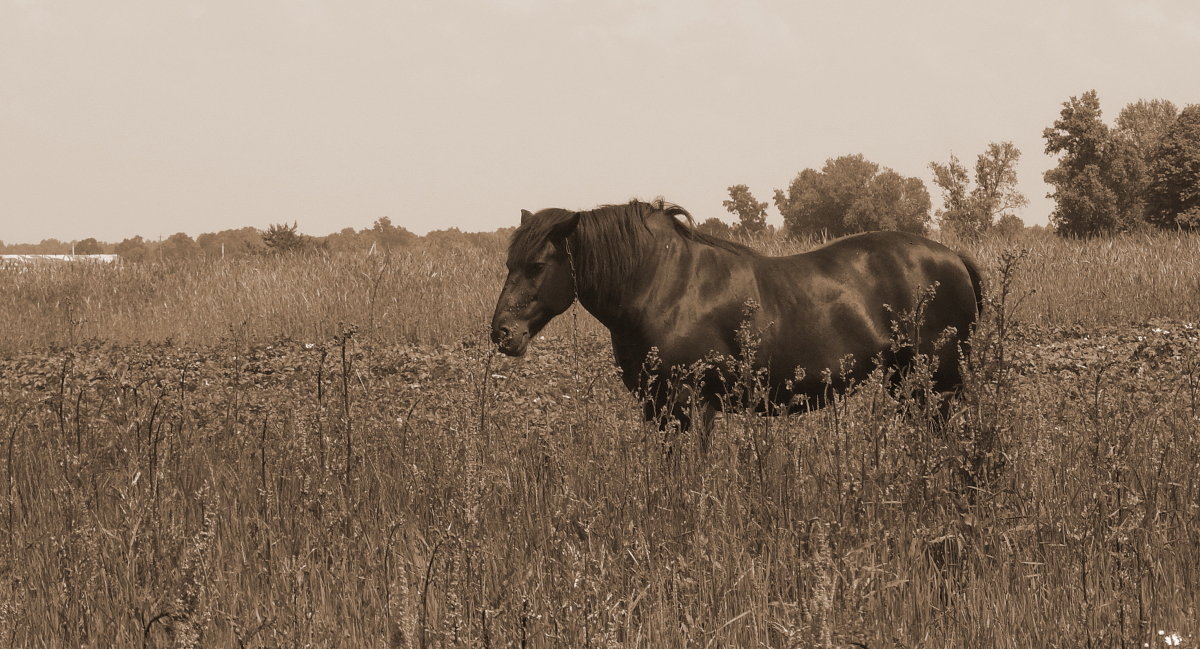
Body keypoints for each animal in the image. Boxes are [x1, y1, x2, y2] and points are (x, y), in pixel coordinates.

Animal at [489, 197, 984, 431]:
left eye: (537, 265)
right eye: (508, 262)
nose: (502, 333)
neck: (664, 285)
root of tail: (954, 257)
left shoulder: (688, 402)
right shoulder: (656, 406)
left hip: (935, 384)